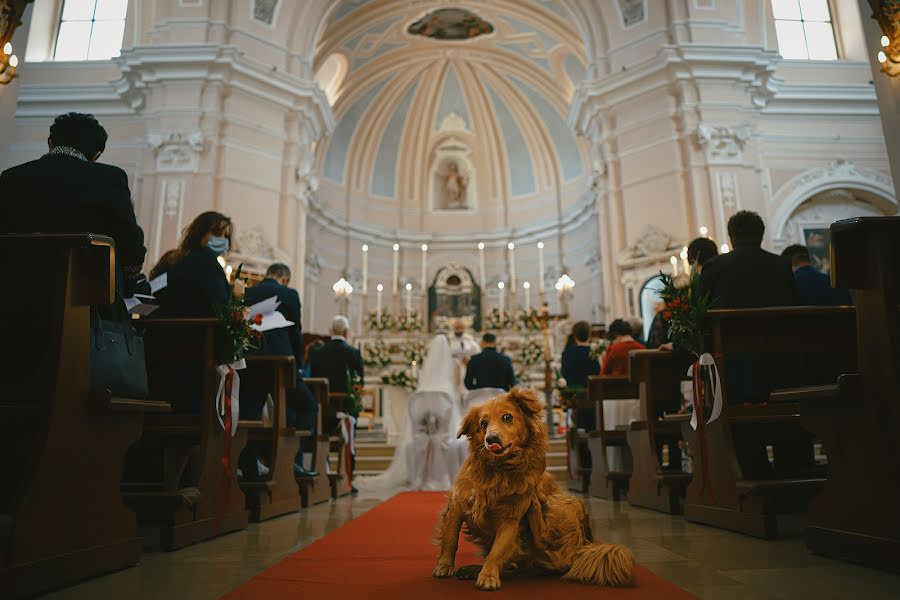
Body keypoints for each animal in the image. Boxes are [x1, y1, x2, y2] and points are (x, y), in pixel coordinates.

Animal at [434, 390, 632, 592]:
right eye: (483, 423)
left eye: (507, 417)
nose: (491, 439)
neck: (499, 471)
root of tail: (585, 545)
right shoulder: (457, 506)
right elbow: (450, 540)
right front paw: (444, 566)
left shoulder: (510, 521)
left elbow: (497, 552)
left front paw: (488, 575)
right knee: (517, 564)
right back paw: (473, 569)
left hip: (562, 502)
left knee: (544, 541)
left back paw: (534, 506)